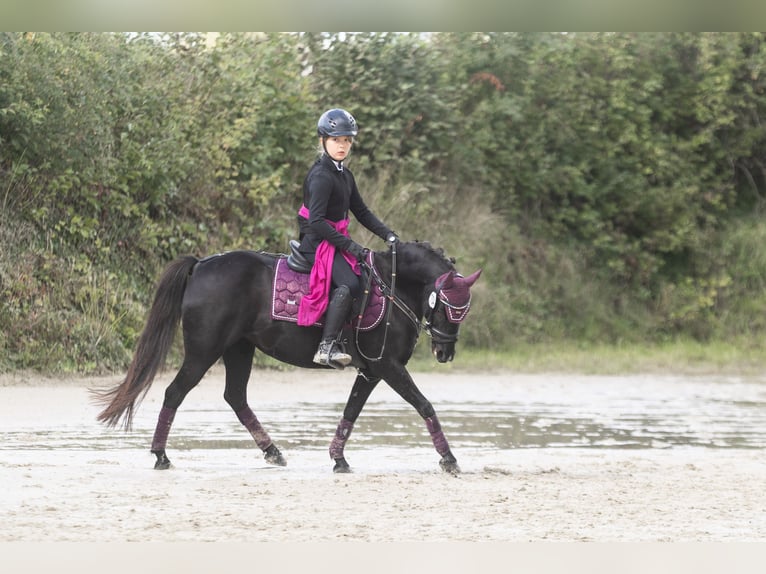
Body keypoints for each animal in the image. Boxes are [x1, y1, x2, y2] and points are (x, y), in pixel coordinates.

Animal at [94, 240, 481, 474]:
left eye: (463, 311)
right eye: (446, 307)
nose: (445, 352)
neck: (393, 286)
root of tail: (202, 264)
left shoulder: (371, 371)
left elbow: (351, 411)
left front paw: (338, 458)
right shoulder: (387, 366)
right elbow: (424, 404)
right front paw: (448, 458)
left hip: (239, 348)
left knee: (235, 397)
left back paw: (272, 451)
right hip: (204, 351)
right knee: (175, 392)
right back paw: (161, 455)